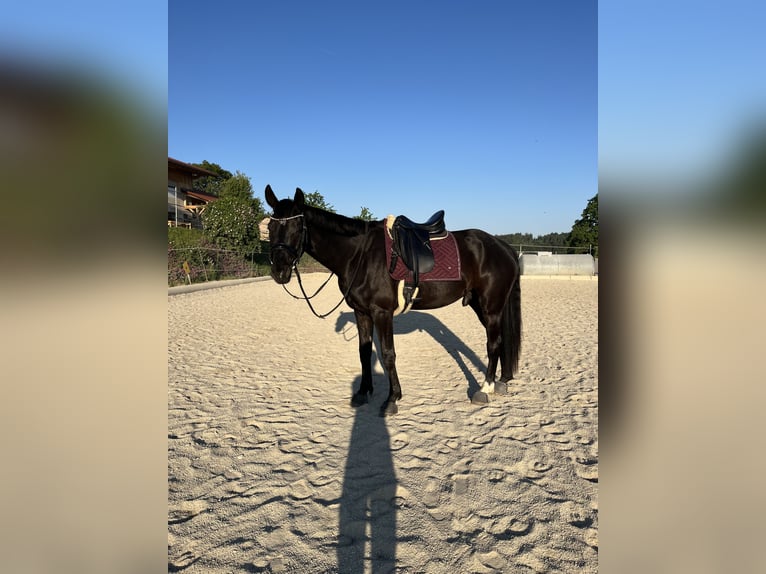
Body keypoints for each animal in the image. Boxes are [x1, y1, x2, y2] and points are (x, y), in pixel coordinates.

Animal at [265, 185, 521, 417]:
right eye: (270, 226)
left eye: (297, 227)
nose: (279, 271)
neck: (359, 255)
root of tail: (502, 246)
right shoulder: (361, 312)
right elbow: (364, 352)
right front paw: (363, 393)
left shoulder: (382, 313)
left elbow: (388, 355)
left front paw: (392, 400)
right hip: (482, 305)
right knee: (499, 341)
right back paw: (501, 382)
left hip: (491, 307)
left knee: (493, 344)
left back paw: (484, 389)